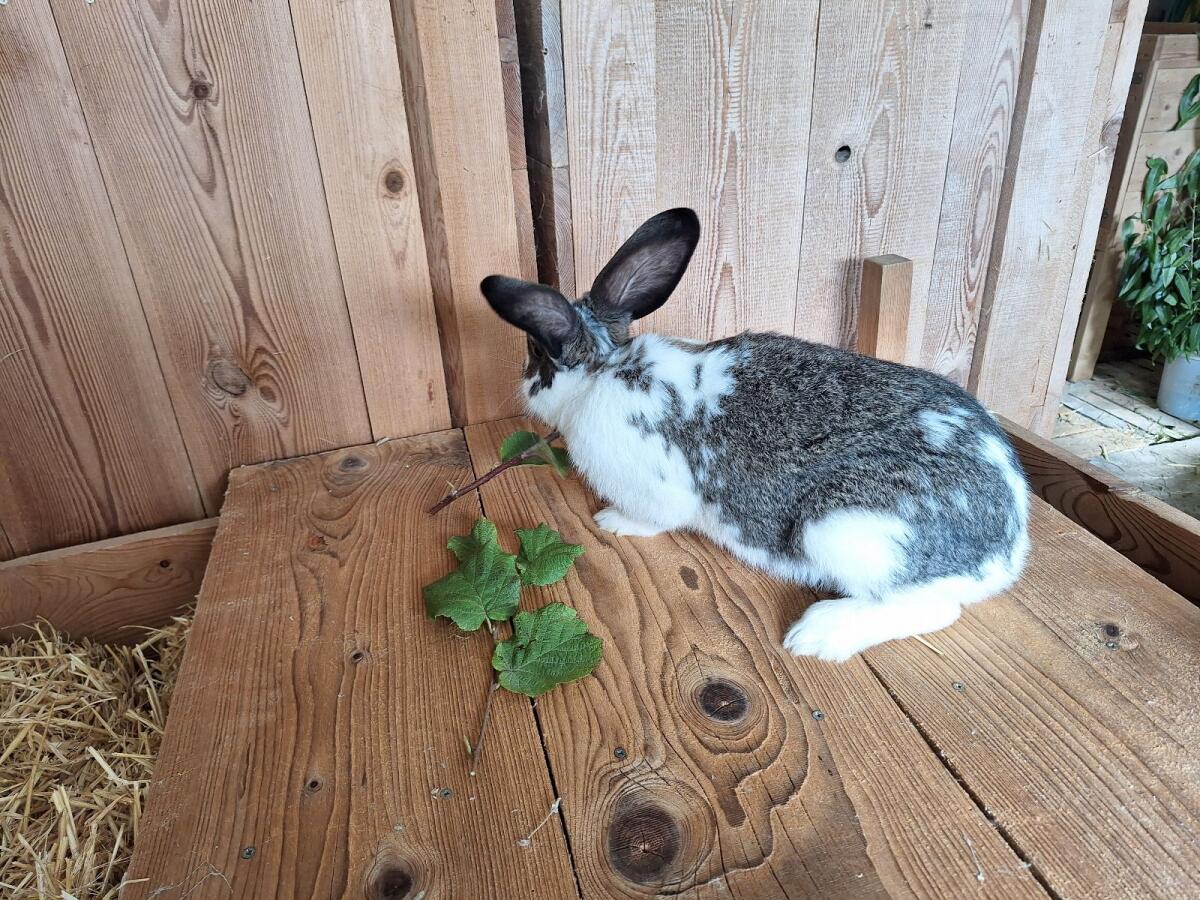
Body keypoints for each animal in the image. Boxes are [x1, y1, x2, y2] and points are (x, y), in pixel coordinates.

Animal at [480, 208, 1030, 662]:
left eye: (537, 360)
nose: (522, 388)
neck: (606, 369)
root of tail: (1008, 548)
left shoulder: (657, 492)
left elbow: (655, 518)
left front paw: (613, 521)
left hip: (845, 528)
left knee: (932, 609)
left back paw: (817, 634)